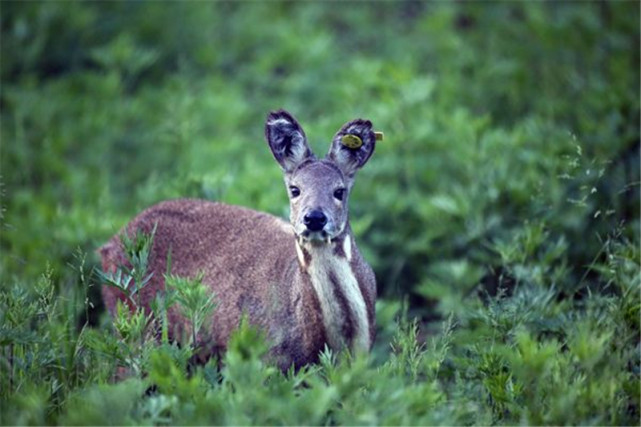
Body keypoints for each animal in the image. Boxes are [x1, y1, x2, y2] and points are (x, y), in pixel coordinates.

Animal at [99, 109, 380, 372]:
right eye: (295, 189)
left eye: (339, 191)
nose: (314, 218)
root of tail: (109, 244)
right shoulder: (270, 358)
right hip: (135, 324)